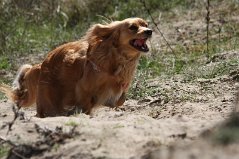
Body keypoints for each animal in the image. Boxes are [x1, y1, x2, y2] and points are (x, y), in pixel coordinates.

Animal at [0, 17, 152, 117]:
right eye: (133, 27)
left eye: (146, 24)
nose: (149, 31)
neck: (116, 58)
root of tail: (41, 65)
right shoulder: (83, 88)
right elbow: (86, 104)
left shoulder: (120, 85)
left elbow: (120, 100)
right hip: (48, 99)